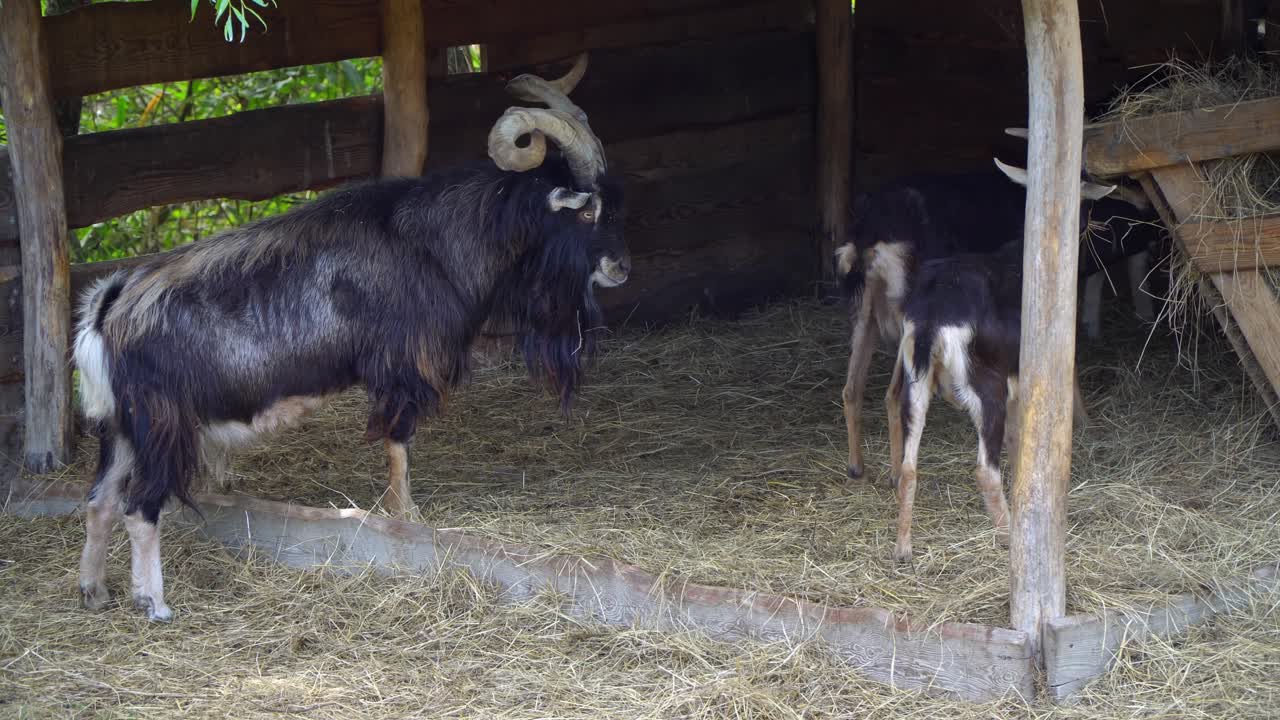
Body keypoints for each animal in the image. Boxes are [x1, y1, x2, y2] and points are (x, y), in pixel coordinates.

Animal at [72, 55, 630, 621]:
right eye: (586, 211)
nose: (620, 267)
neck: (434, 241)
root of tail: (107, 309)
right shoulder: (402, 368)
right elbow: (398, 447)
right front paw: (409, 517)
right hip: (160, 426)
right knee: (139, 507)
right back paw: (154, 603)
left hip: (119, 429)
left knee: (99, 501)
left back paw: (94, 591)